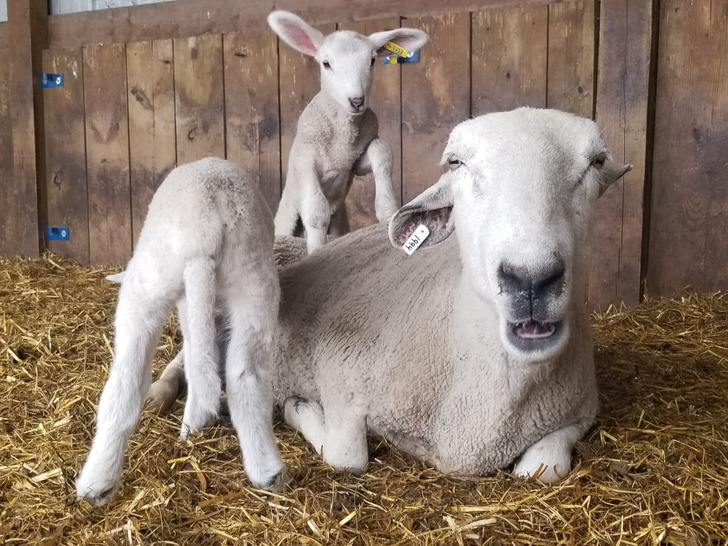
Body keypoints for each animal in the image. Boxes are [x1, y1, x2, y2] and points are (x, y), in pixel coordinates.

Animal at [75, 155, 286, 504]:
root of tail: (203, 230)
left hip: (148, 282)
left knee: (126, 378)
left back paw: (96, 481)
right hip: (253, 287)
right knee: (244, 374)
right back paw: (265, 470)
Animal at [270, 10, 430, 253]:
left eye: (372, 60)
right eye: (326, 64)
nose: (357, 101)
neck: (342, 139)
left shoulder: (353, 163)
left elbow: (380, 150)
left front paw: (386, 210)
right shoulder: (305, 161)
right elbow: (316, 213)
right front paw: (316, 251)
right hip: (287, 217)